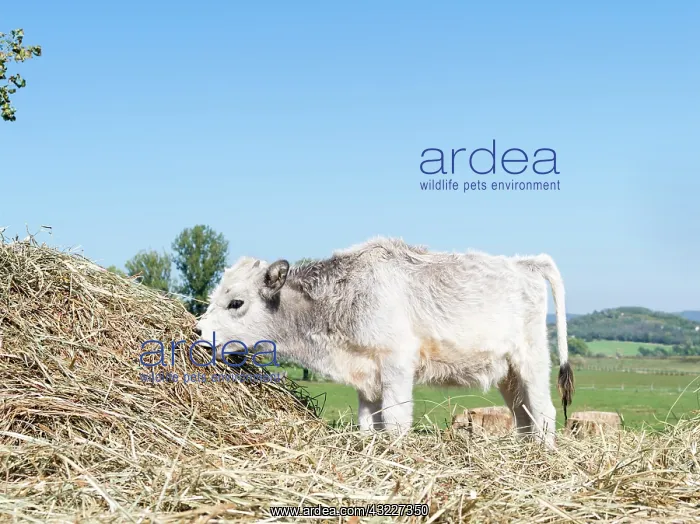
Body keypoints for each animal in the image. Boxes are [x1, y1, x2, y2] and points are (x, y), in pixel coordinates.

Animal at [194, 237, 574, 447]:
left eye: (236, 302)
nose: (198, 334)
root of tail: (525, 263)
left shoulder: (396, 365)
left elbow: (395, 421)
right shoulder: (366, 374)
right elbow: (368, 425)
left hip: (532, 359)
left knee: (544, 412)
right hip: (508, 373)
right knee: (523, 415)